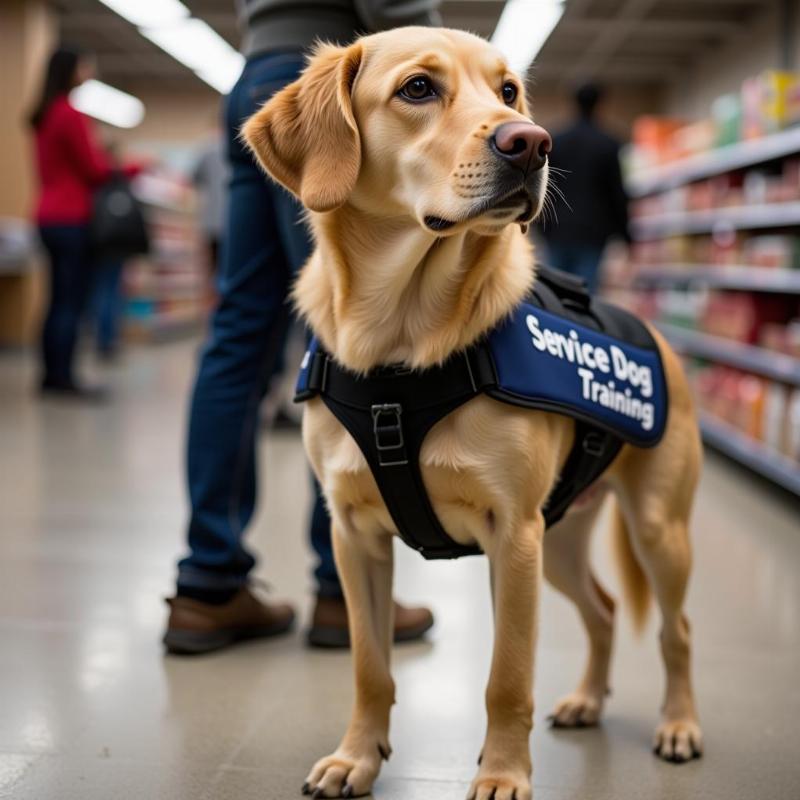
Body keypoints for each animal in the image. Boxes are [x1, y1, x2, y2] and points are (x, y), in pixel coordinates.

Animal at [242, 25, 700, 800]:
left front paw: (503, 774)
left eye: (509, 91)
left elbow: (506, 679)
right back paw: (587, 700)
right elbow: (369, 667)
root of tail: (654, 336)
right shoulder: (353, 536)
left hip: (654, 532)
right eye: (418, 88)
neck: (398, 345)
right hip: (561, 541)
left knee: (677, 632)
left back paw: (679, 724)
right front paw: (356, 758)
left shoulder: (512, 537)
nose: (534, 142)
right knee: (605, 612)